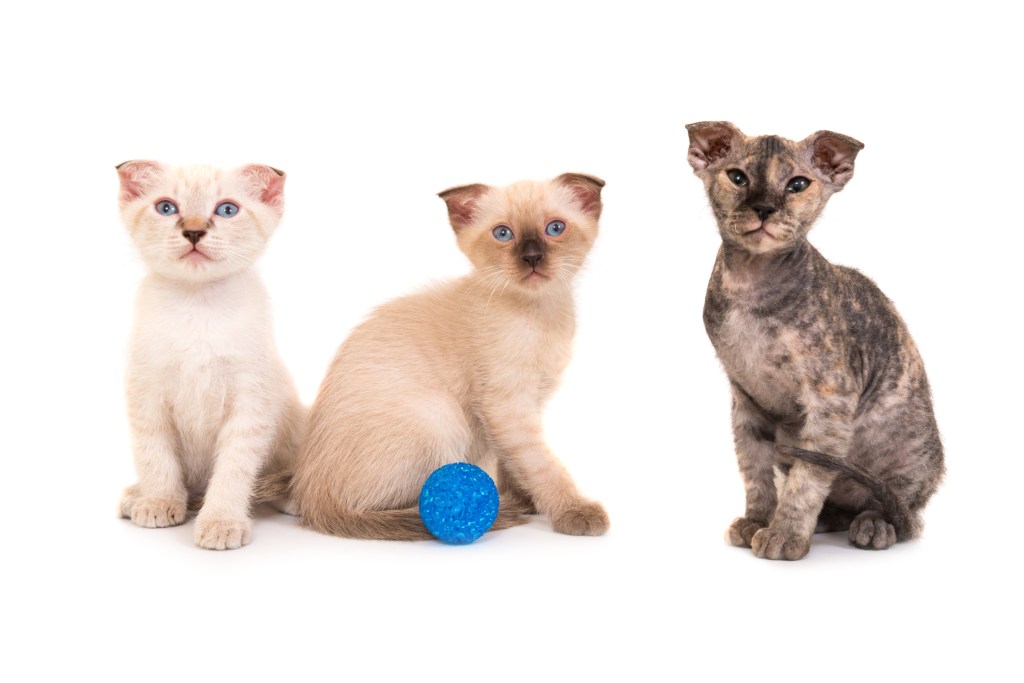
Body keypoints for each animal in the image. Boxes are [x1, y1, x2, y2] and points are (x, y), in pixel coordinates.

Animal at [115, 162, 301, 552]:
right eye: (166, 208)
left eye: (227, 210)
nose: (194, 231)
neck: (197, 304)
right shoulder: (147, 395)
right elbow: (155, 456)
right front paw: (159, 502)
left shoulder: (250, 404)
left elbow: (232, 471)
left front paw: (221, 522)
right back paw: (138, 495)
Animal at [284, 171, 606, 540]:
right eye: (503, 234)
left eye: (555, 228)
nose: (532, 258)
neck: (542, 312)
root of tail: (313, 497)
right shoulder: (506, 405)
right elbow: (541, 464)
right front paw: (572, 510)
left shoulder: (526, 406)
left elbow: (515, 462)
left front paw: (525, 499)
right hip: (441, 417)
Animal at [688, 121, 942, 561]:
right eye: (737, 178)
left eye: (797, 184)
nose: (764, 208)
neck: (750, 282)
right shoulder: (745, 396)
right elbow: (754, 467)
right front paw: (758, 519)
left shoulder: (830, 397)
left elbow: (808, 477)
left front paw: (784, 534)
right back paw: (827, 518)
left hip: (904, 451)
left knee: (900, 511)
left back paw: (874, 524)